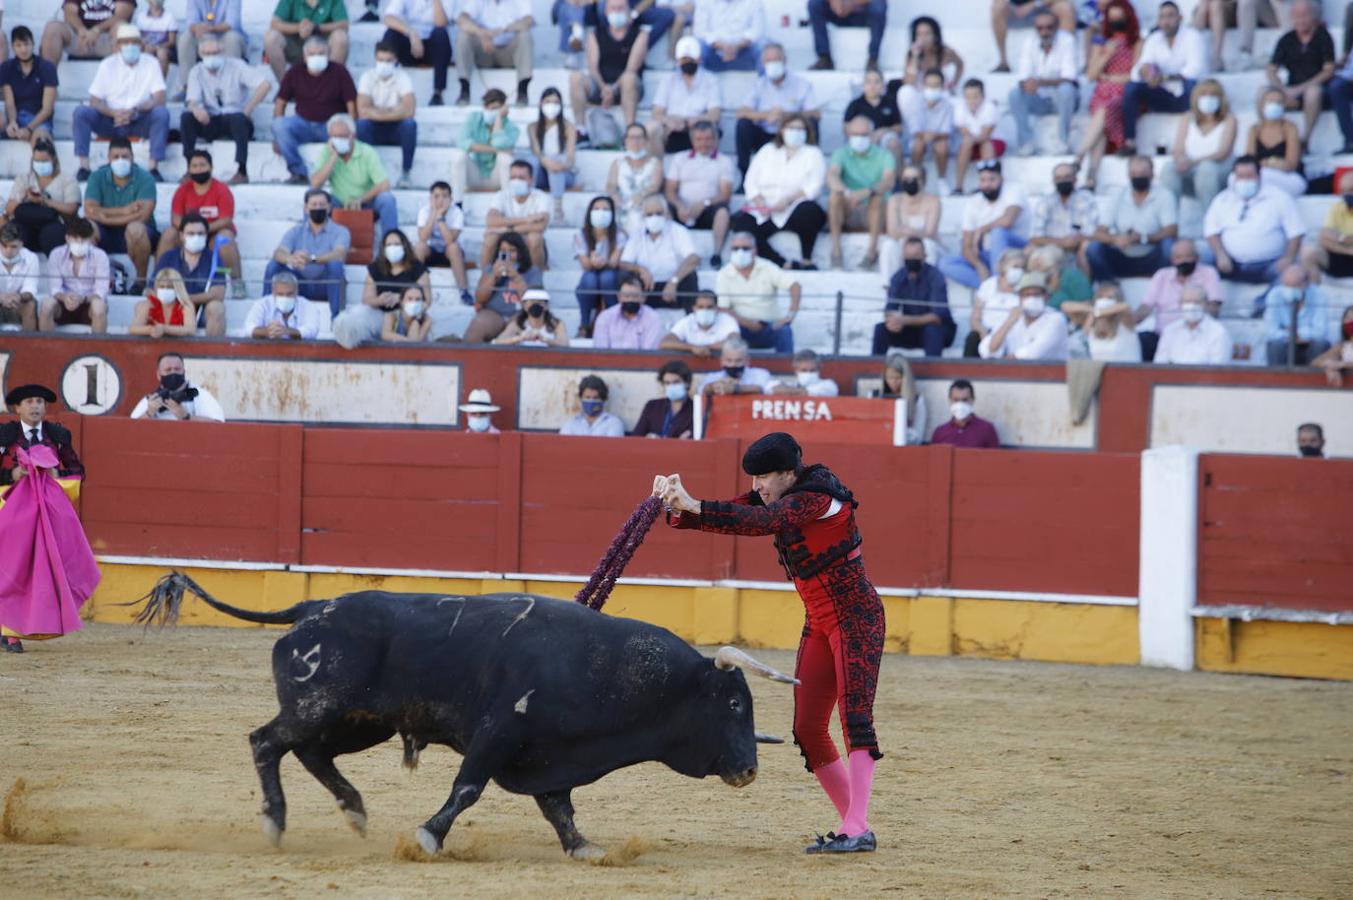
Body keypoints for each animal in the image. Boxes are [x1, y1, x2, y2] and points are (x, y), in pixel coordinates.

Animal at [129, 571, 790, 860]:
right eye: (735, 703)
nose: (750, 770)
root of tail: (316, 606)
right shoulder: (500, 733)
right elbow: (468, 787)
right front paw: (428, 836)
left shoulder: (549, 755)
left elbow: (560, 806)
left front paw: (585, 848)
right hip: (320, 706)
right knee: (266, 740)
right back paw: (275, 821)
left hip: (357, 722)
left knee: (311, 753)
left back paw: (355, 812)